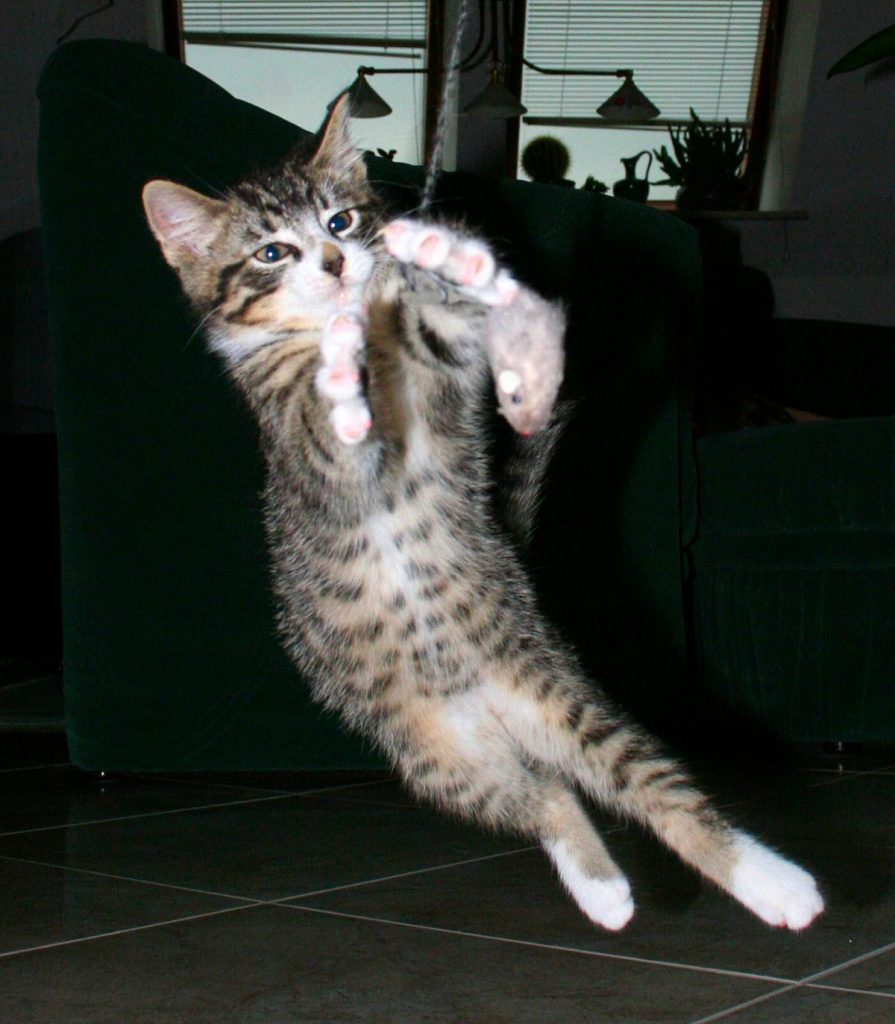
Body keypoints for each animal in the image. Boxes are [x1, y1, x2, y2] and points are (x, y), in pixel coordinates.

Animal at [143, 97, 819, 937]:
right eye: (272, 252)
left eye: (340, 220)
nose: (333, 264)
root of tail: (488, 707)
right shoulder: (304, 449)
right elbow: (330, 435)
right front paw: (339, 377)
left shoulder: (440, 395)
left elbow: (445, 336)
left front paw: (448, 261)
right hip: (436, 757)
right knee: (542, 798)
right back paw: (606, 889)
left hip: (561, 699)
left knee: (652, 791)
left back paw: (766, 882)